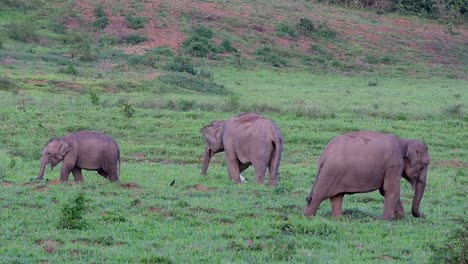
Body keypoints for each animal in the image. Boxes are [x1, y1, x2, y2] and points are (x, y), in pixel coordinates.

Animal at [304, 130, 432, 221]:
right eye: (426, 164)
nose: (423, 215)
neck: (404, 141)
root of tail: (324, 155)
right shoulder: (394, 164)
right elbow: (391, 189)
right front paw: (387, 220)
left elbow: (385, 190)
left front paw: (401, 218)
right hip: (330, 172)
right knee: (318, 195)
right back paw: (307, 217)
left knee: (337, 197)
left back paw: (339, 219)